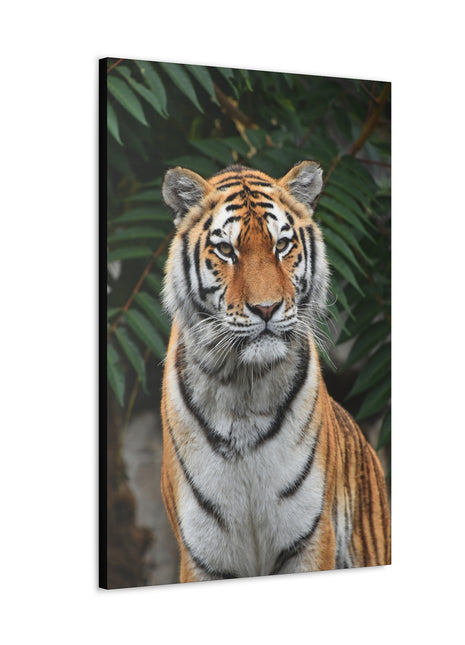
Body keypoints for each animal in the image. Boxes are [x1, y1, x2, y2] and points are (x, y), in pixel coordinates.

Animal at [160, 160, 391, 583]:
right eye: (226, 250)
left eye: (281, 246)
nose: (266, 308)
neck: (243, 389)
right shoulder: (202, 554)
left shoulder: (311, 537)